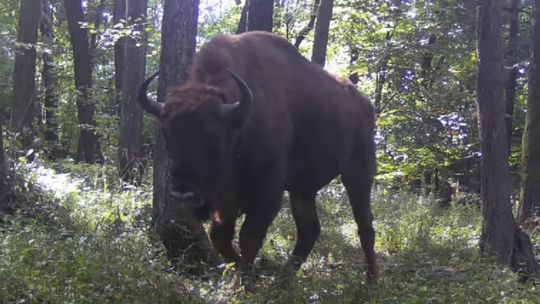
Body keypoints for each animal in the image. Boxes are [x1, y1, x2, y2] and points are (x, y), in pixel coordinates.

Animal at [138, 31, 376, 280]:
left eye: (212, 134)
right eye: (166, 135)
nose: (183, 190)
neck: (239, 122)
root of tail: (365, 104)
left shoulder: (267, 187)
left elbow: (249, 237)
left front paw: (243, 281)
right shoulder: (225, 198)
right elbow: (220, 237)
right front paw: (246, 273)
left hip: (358, 172)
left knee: (365, 225)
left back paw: (371, 280)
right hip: (303, 188)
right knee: (309, 229)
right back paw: (283, 279)